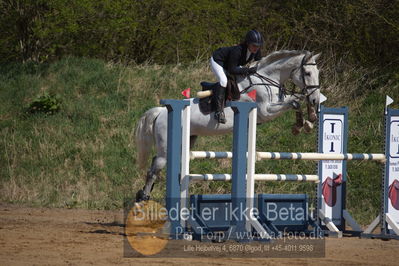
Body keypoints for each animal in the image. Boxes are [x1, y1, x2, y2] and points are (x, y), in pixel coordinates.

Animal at [136, 50, 324, 202]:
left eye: (318, 73)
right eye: (307, 73)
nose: (315, 99)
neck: (266, 80)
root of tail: (161, 111)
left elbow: (295, 101)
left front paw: (306, 122)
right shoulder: (265, 111)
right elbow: (294, 101)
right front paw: (303, 123)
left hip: (187, 140)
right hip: (167, 146)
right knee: (155, 168)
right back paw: (143, 196)